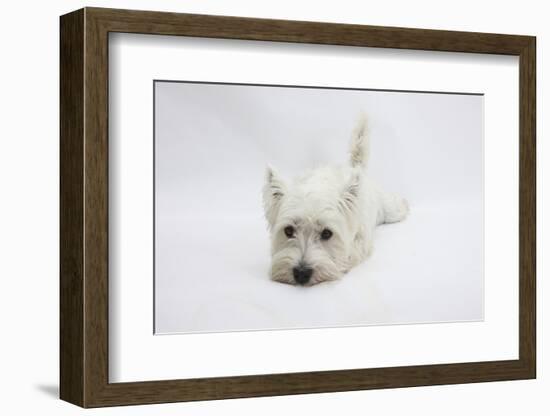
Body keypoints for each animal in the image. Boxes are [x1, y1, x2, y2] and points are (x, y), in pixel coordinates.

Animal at [264, 116, 410, 286]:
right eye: (288, 230)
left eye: (327, 233)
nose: (301, 273)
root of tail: (355, 167)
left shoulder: (361, 240)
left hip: (389, 210)